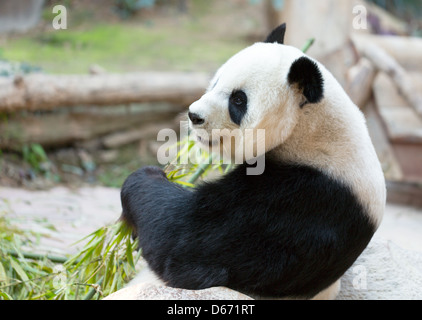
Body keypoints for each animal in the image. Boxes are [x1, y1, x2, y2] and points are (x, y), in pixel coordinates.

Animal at [120, 23, 388, 298]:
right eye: (216, 81)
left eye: (238, 99)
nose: (195, 116)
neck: (312, 132)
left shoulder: (303, 203)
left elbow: (183, 241)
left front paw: (149, 175)